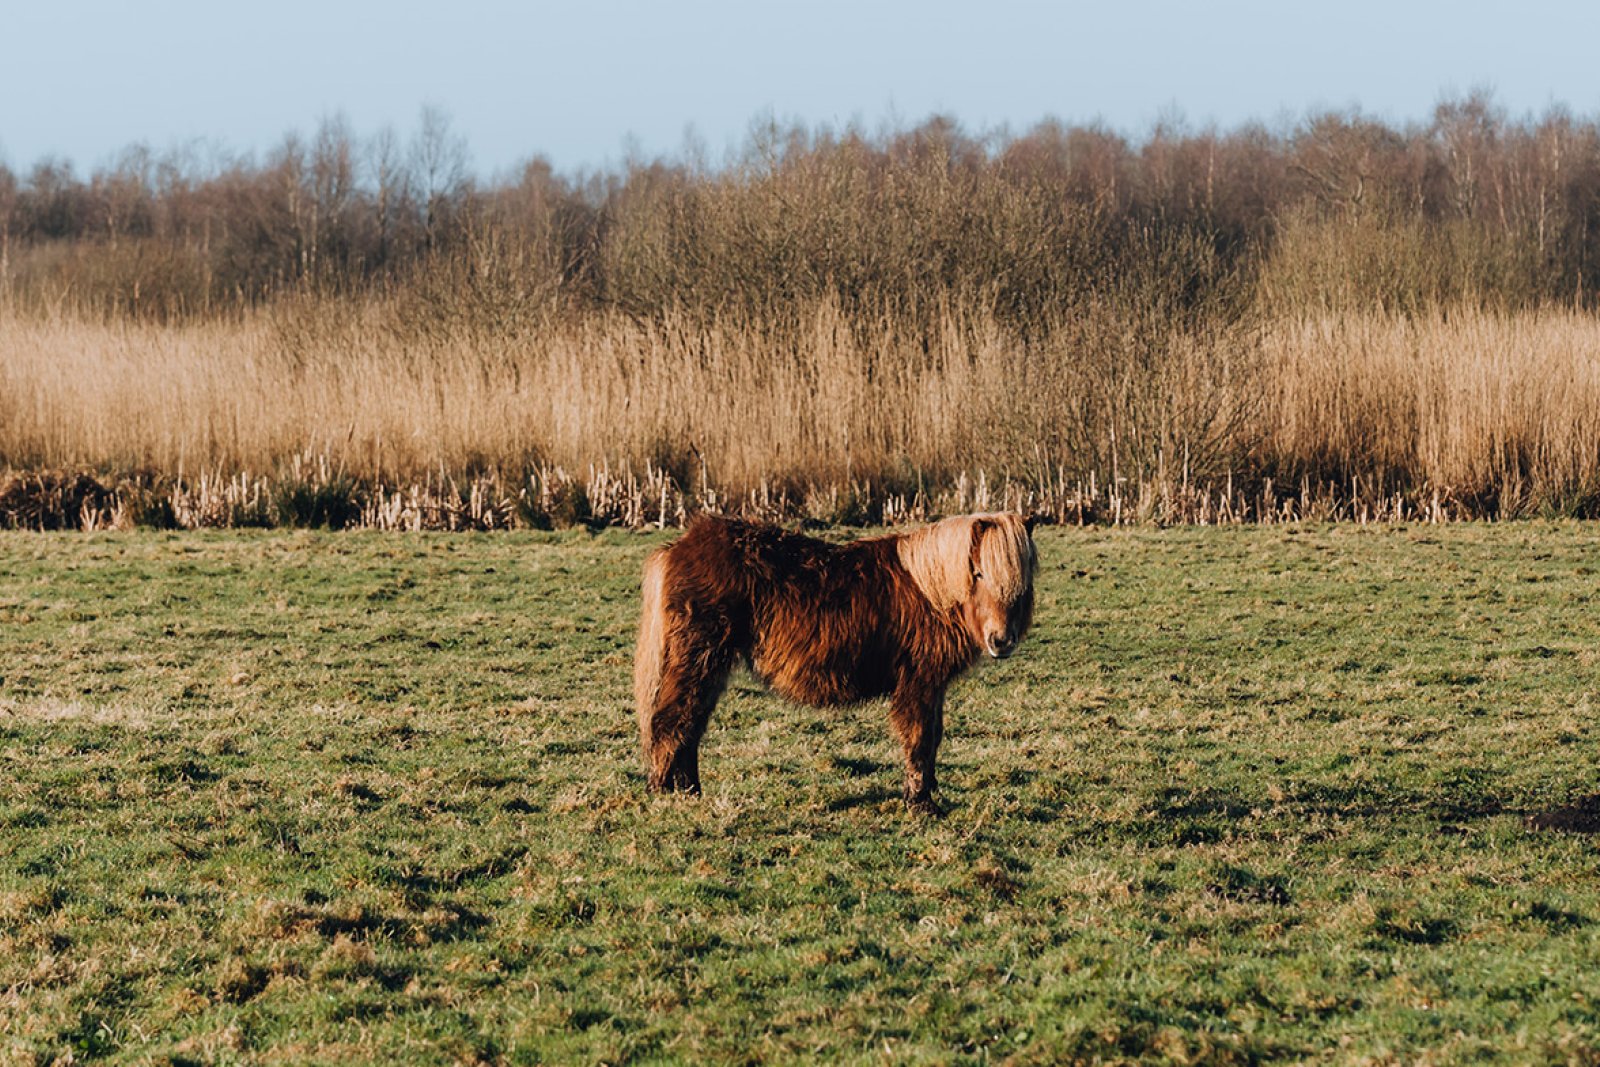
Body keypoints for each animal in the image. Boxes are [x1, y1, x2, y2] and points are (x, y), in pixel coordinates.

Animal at [630, 511, 1030, 812]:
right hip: (697, 660)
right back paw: (667, 792)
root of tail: (680, 546)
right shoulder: (919, 682)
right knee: (671, 720)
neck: (932, 592)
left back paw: (690, 791)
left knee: (690, 724)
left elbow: (933, 737)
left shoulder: (932, 686)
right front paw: (921, 803)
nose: (1001, 641)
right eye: (978, 572)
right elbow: (919, 739)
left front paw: (926, 794)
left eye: (1020, 581)